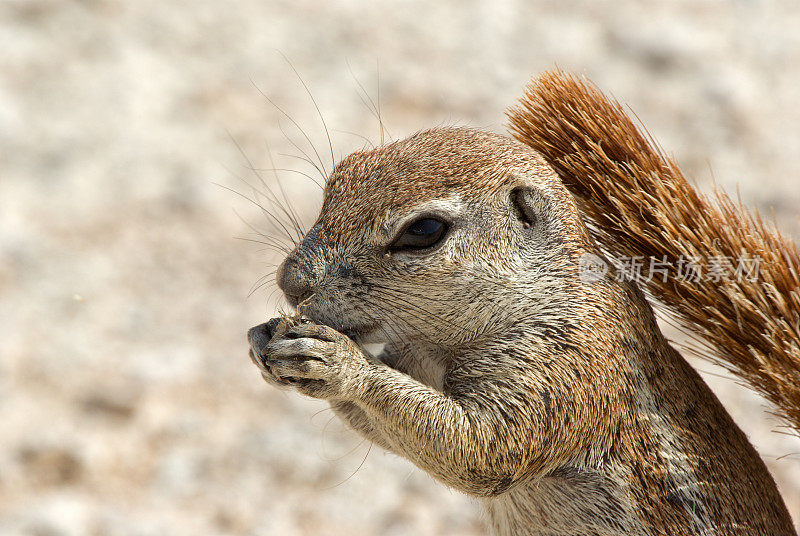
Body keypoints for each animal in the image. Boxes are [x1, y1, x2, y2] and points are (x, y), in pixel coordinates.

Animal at [247, 73, 796, 532]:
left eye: (424, 230)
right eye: (340, 174)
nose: (291, 282)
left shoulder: (567, 367)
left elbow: (479, 450)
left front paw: (339, 362)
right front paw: (264, 342)